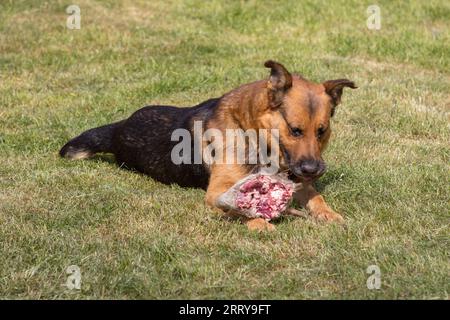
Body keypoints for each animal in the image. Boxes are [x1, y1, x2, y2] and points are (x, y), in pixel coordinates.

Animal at [59, 60, 356, 230]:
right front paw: (258, 222)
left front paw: (330, 215)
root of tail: (119, 127)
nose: (313, 170)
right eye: (295, 130)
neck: (249, 129)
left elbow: (317, 198)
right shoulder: (216, 192)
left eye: (322, 131)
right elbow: (237, 208)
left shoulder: (299, 181)